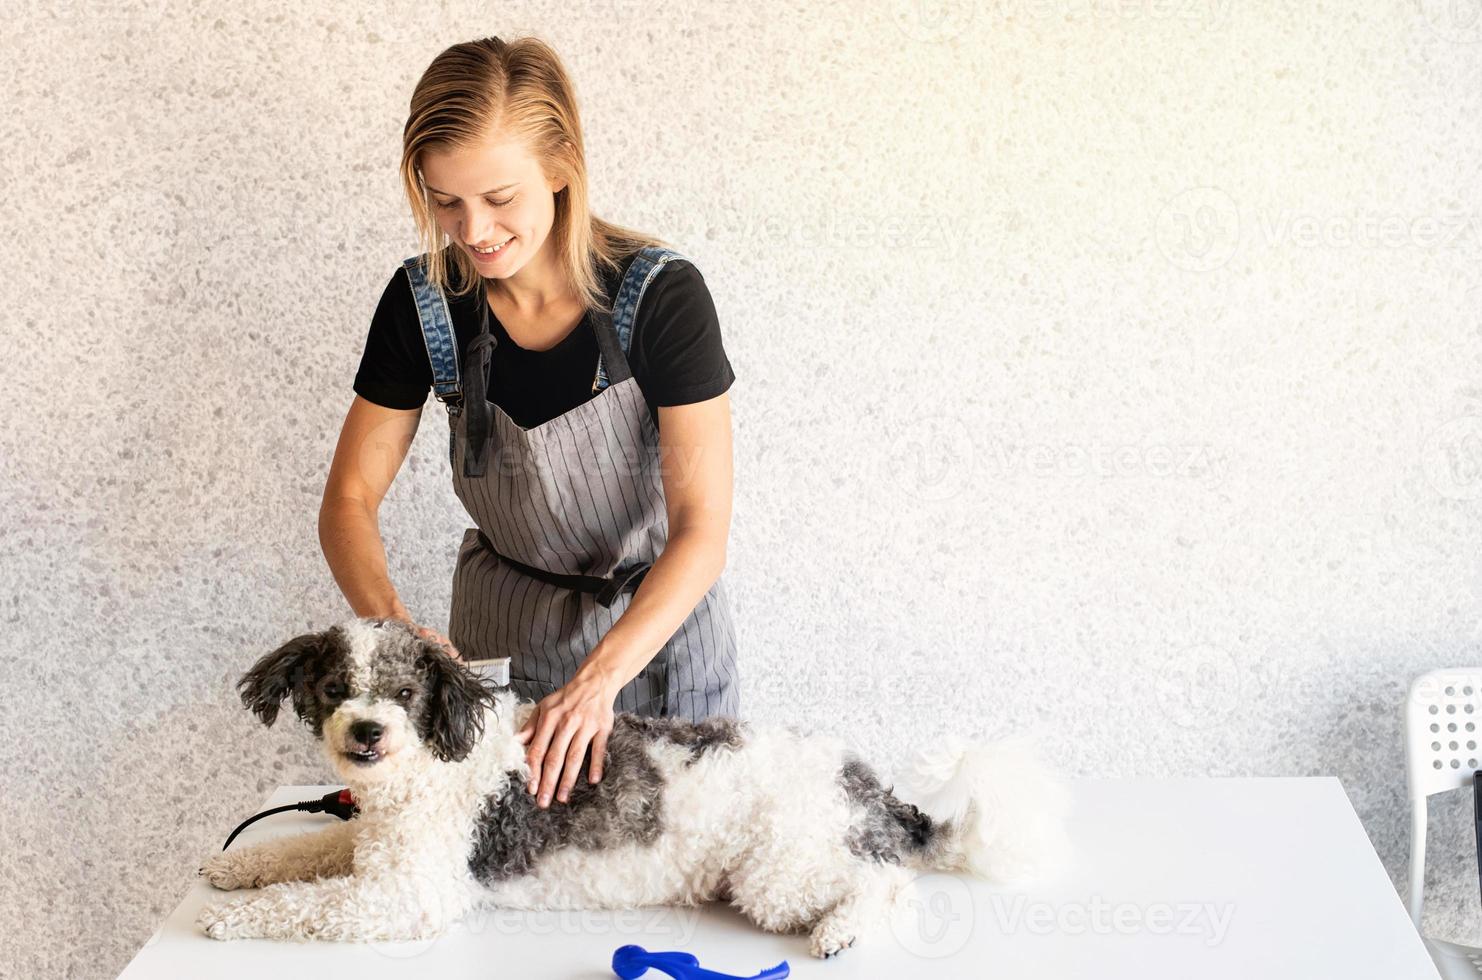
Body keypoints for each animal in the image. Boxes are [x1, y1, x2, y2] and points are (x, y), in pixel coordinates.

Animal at [200, 619, 1078, 954]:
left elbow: (304, 903)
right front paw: (231, 868)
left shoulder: (406, 896)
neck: (431, 767)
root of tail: (873, 790)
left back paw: (841, 932)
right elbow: (307, 853)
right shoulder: (373, 844)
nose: (366, 732)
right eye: (334, 688)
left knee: (890, 883)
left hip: (778, 873)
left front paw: (228, 919)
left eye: (405, 692)